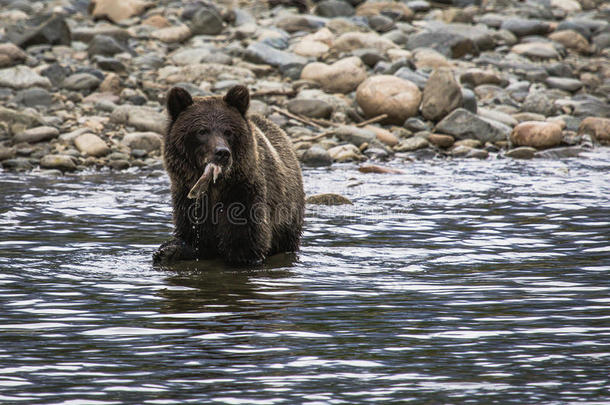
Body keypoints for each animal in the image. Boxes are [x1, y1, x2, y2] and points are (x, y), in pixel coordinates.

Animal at [152, 84, 304, 266]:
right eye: (202, 131)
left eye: (228, 131)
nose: (222, 152)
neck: (215, 188)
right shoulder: (187, 198)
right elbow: (194, 237)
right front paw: (167, 251)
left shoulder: (243, 194)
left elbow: (245, 242)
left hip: (288, 215)